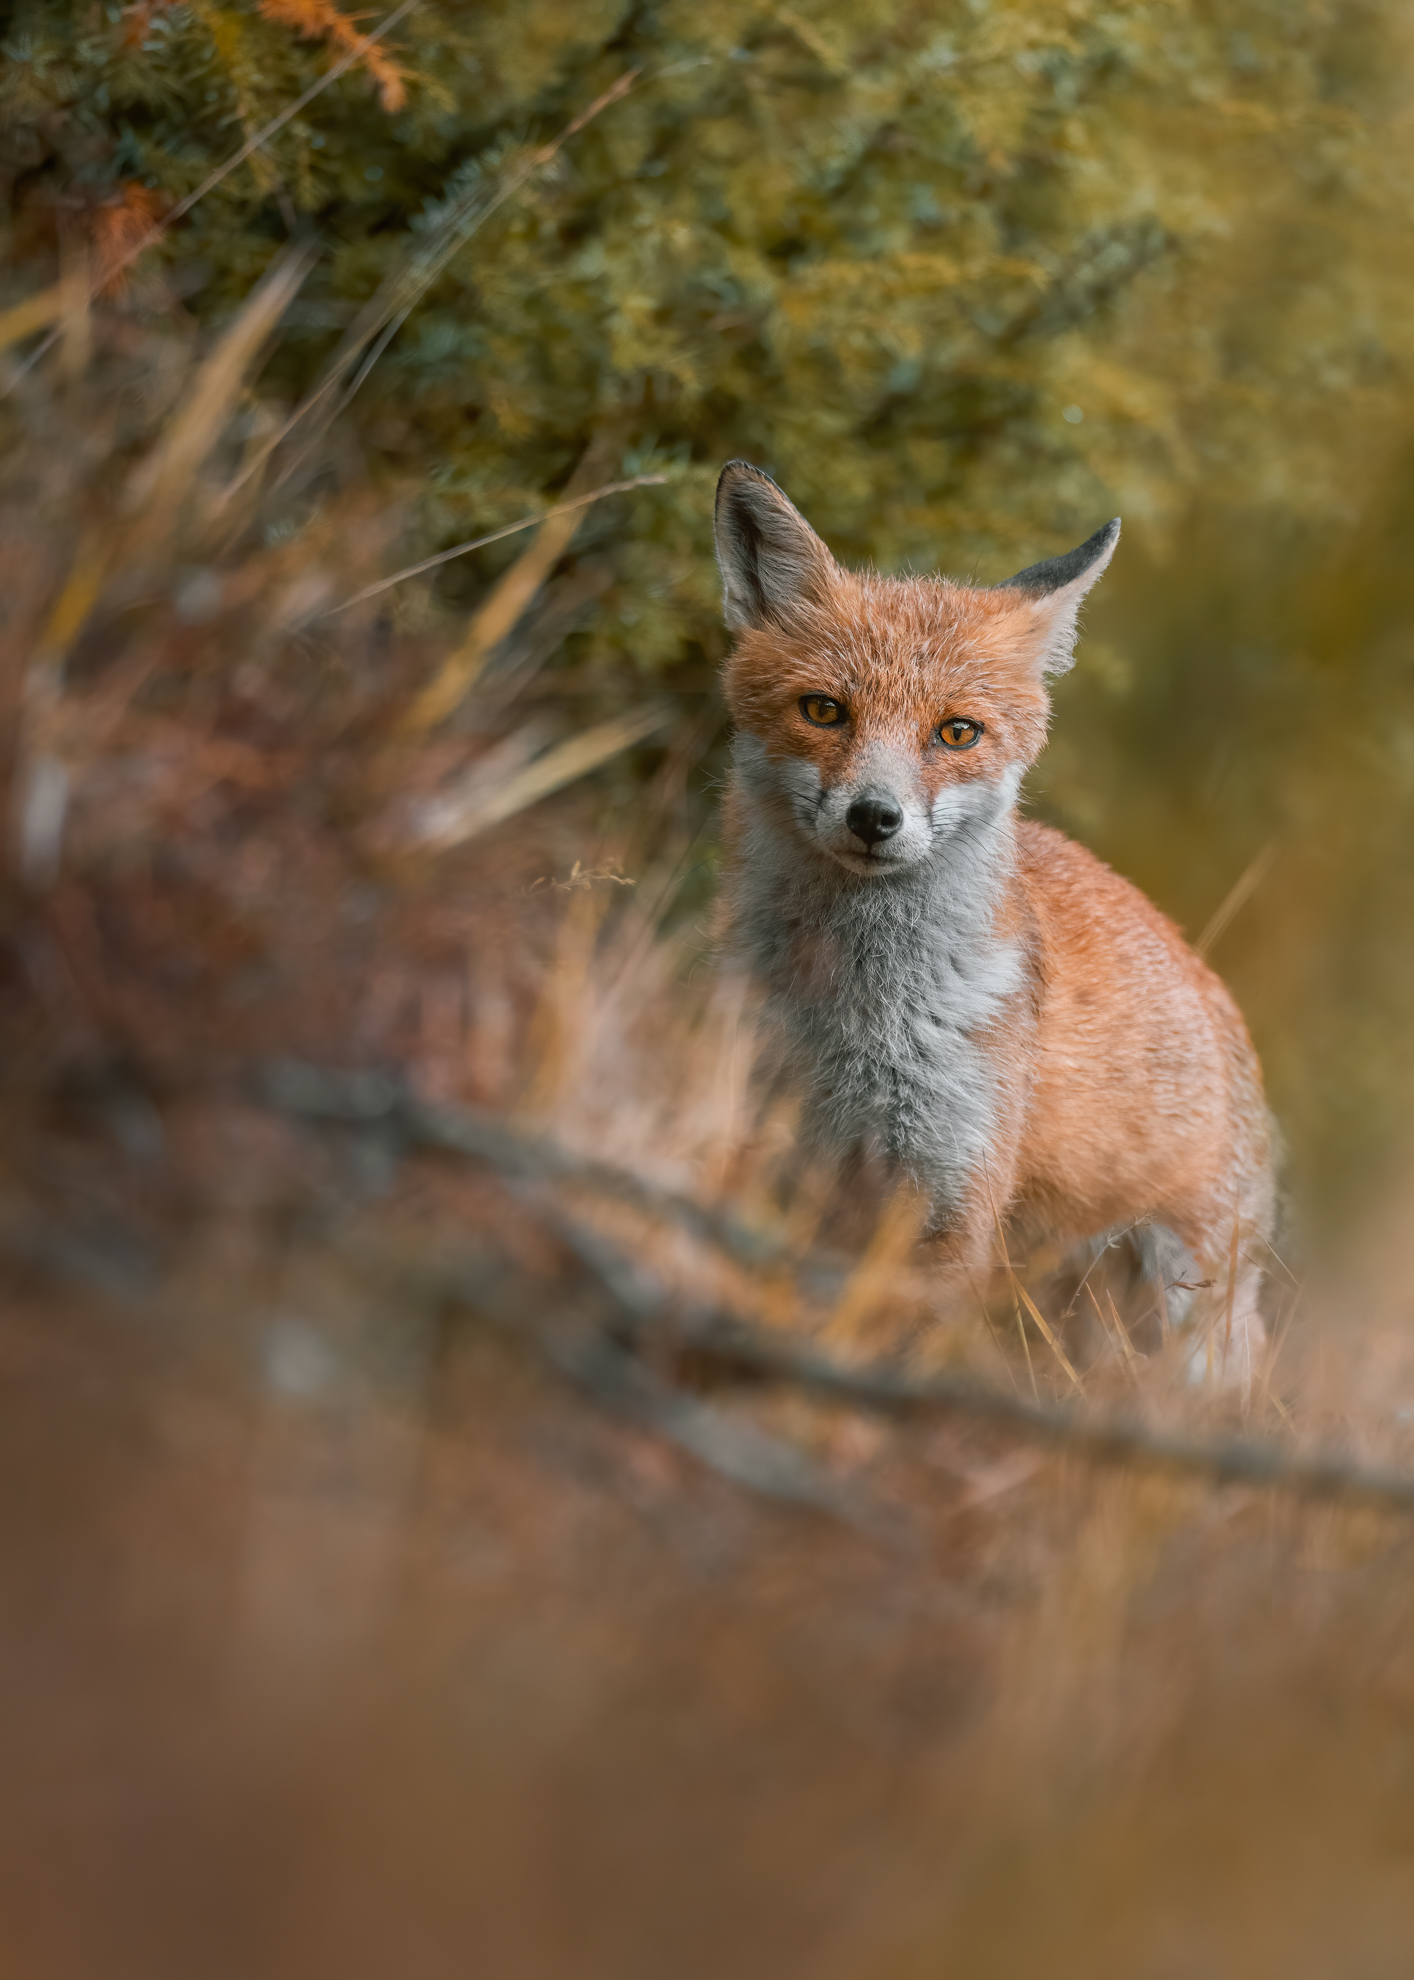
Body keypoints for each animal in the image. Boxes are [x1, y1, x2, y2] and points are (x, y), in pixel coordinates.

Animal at [713, 460, 1276, 1388]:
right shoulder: (763, 1133)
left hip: (1183, 1309)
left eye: (957, 732)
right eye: (824, 711)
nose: (876, 818)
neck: (859, 1016)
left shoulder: (950, 1191)